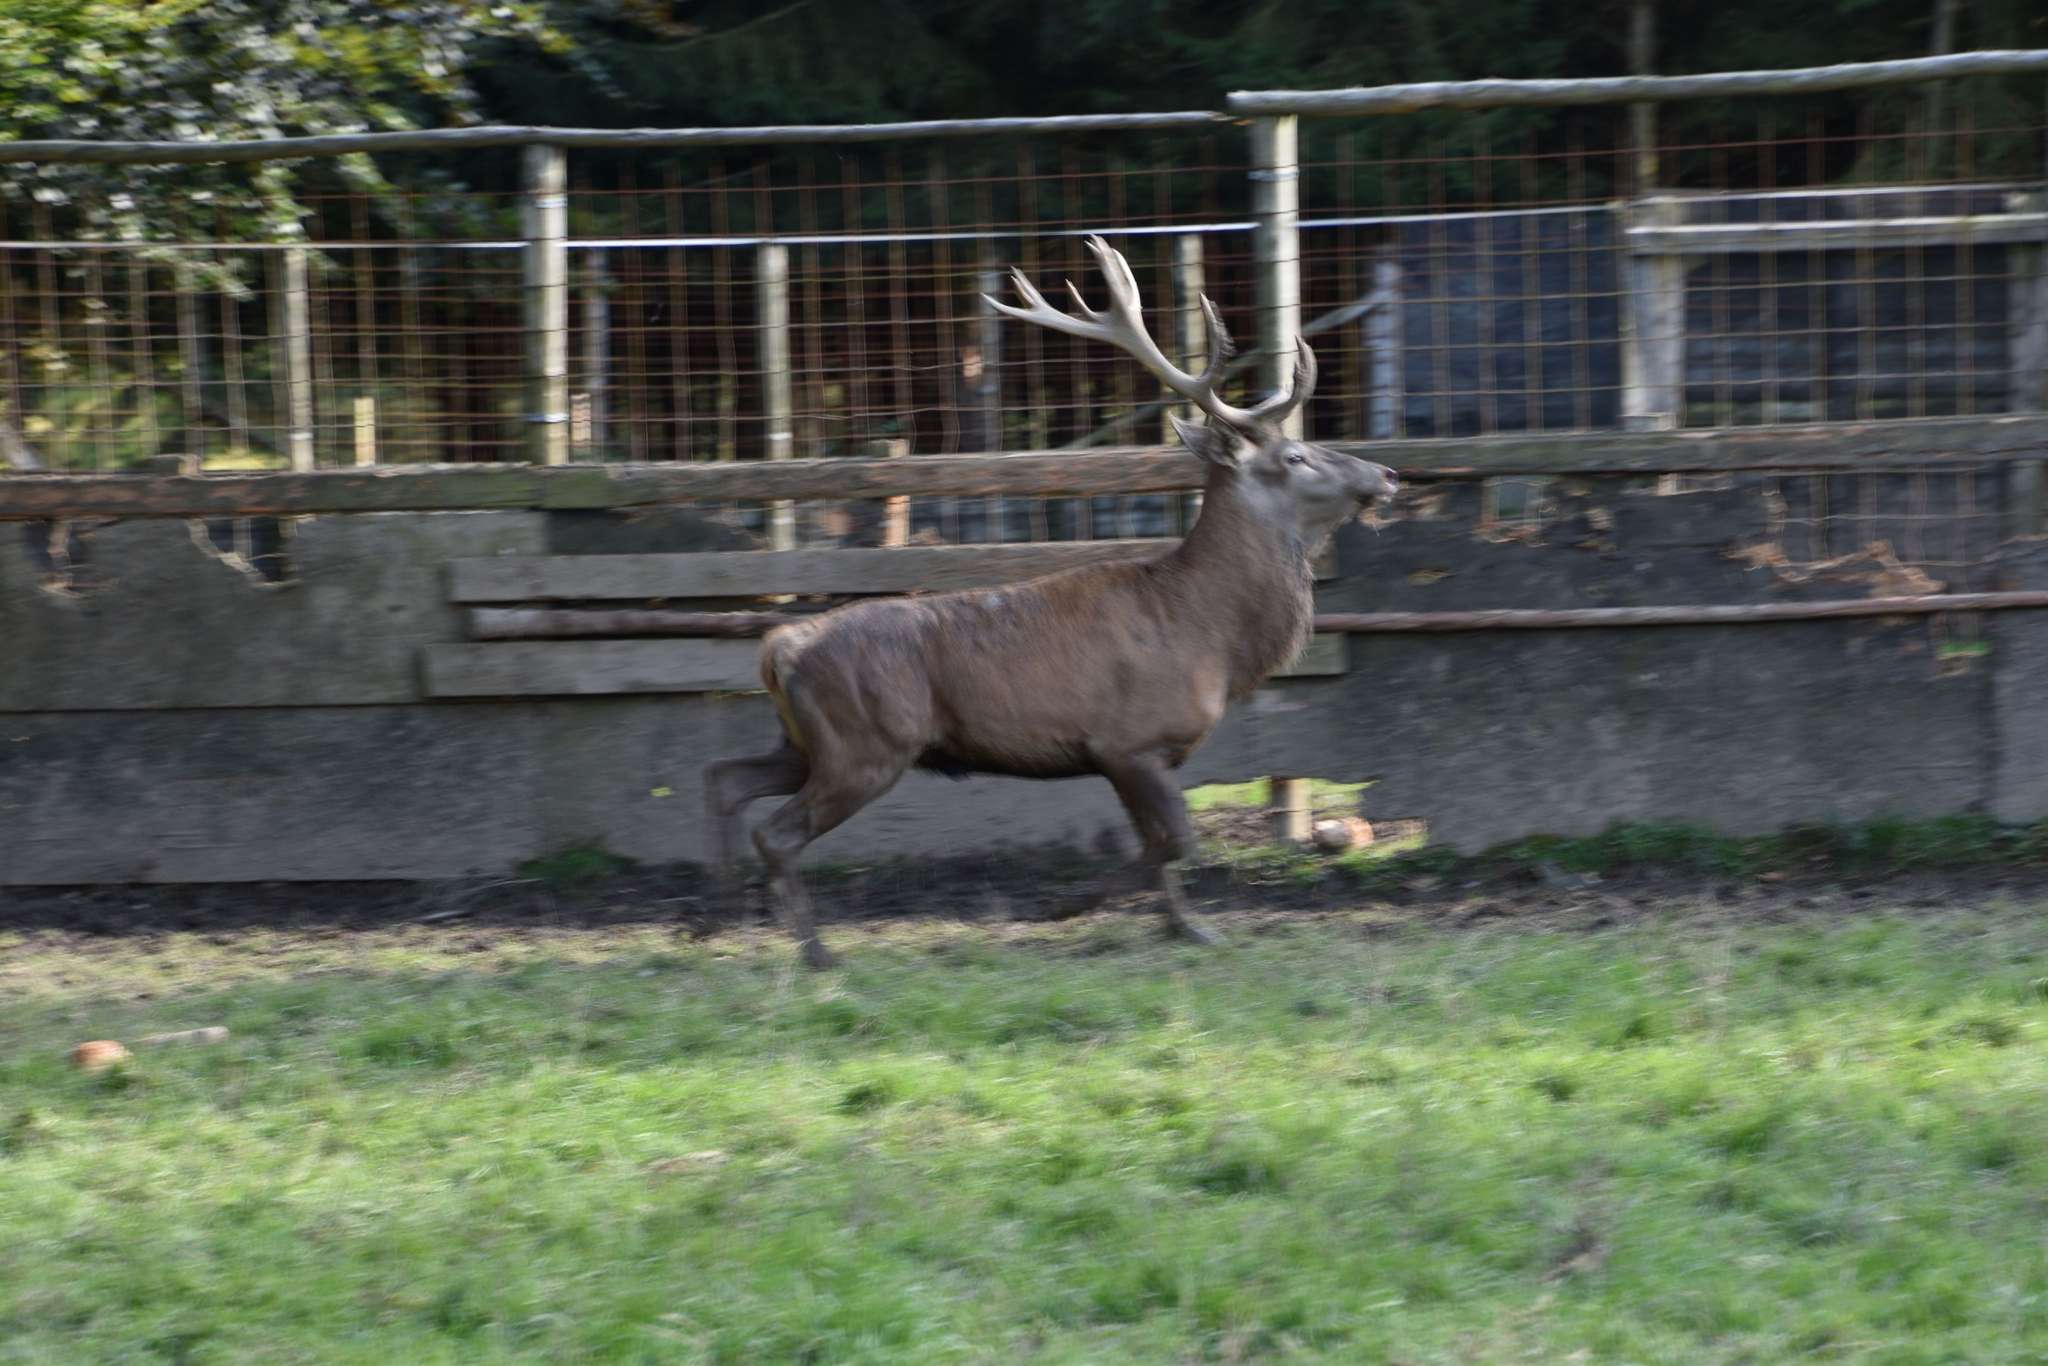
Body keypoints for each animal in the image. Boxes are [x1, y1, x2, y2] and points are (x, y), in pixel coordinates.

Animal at [704, 235, 1398, 968]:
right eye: (1295, 456)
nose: (1387, 473)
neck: (1209, 637)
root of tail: (781, 648)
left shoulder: (1135, 754)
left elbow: (1161, 843)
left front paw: (1184, 926)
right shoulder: (1128, 741)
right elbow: (1175, 840)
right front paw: (1070, 905)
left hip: (809, 743)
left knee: (725, 777)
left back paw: (721, 915)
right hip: (866, 745)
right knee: (777, 831)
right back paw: (814, 952)